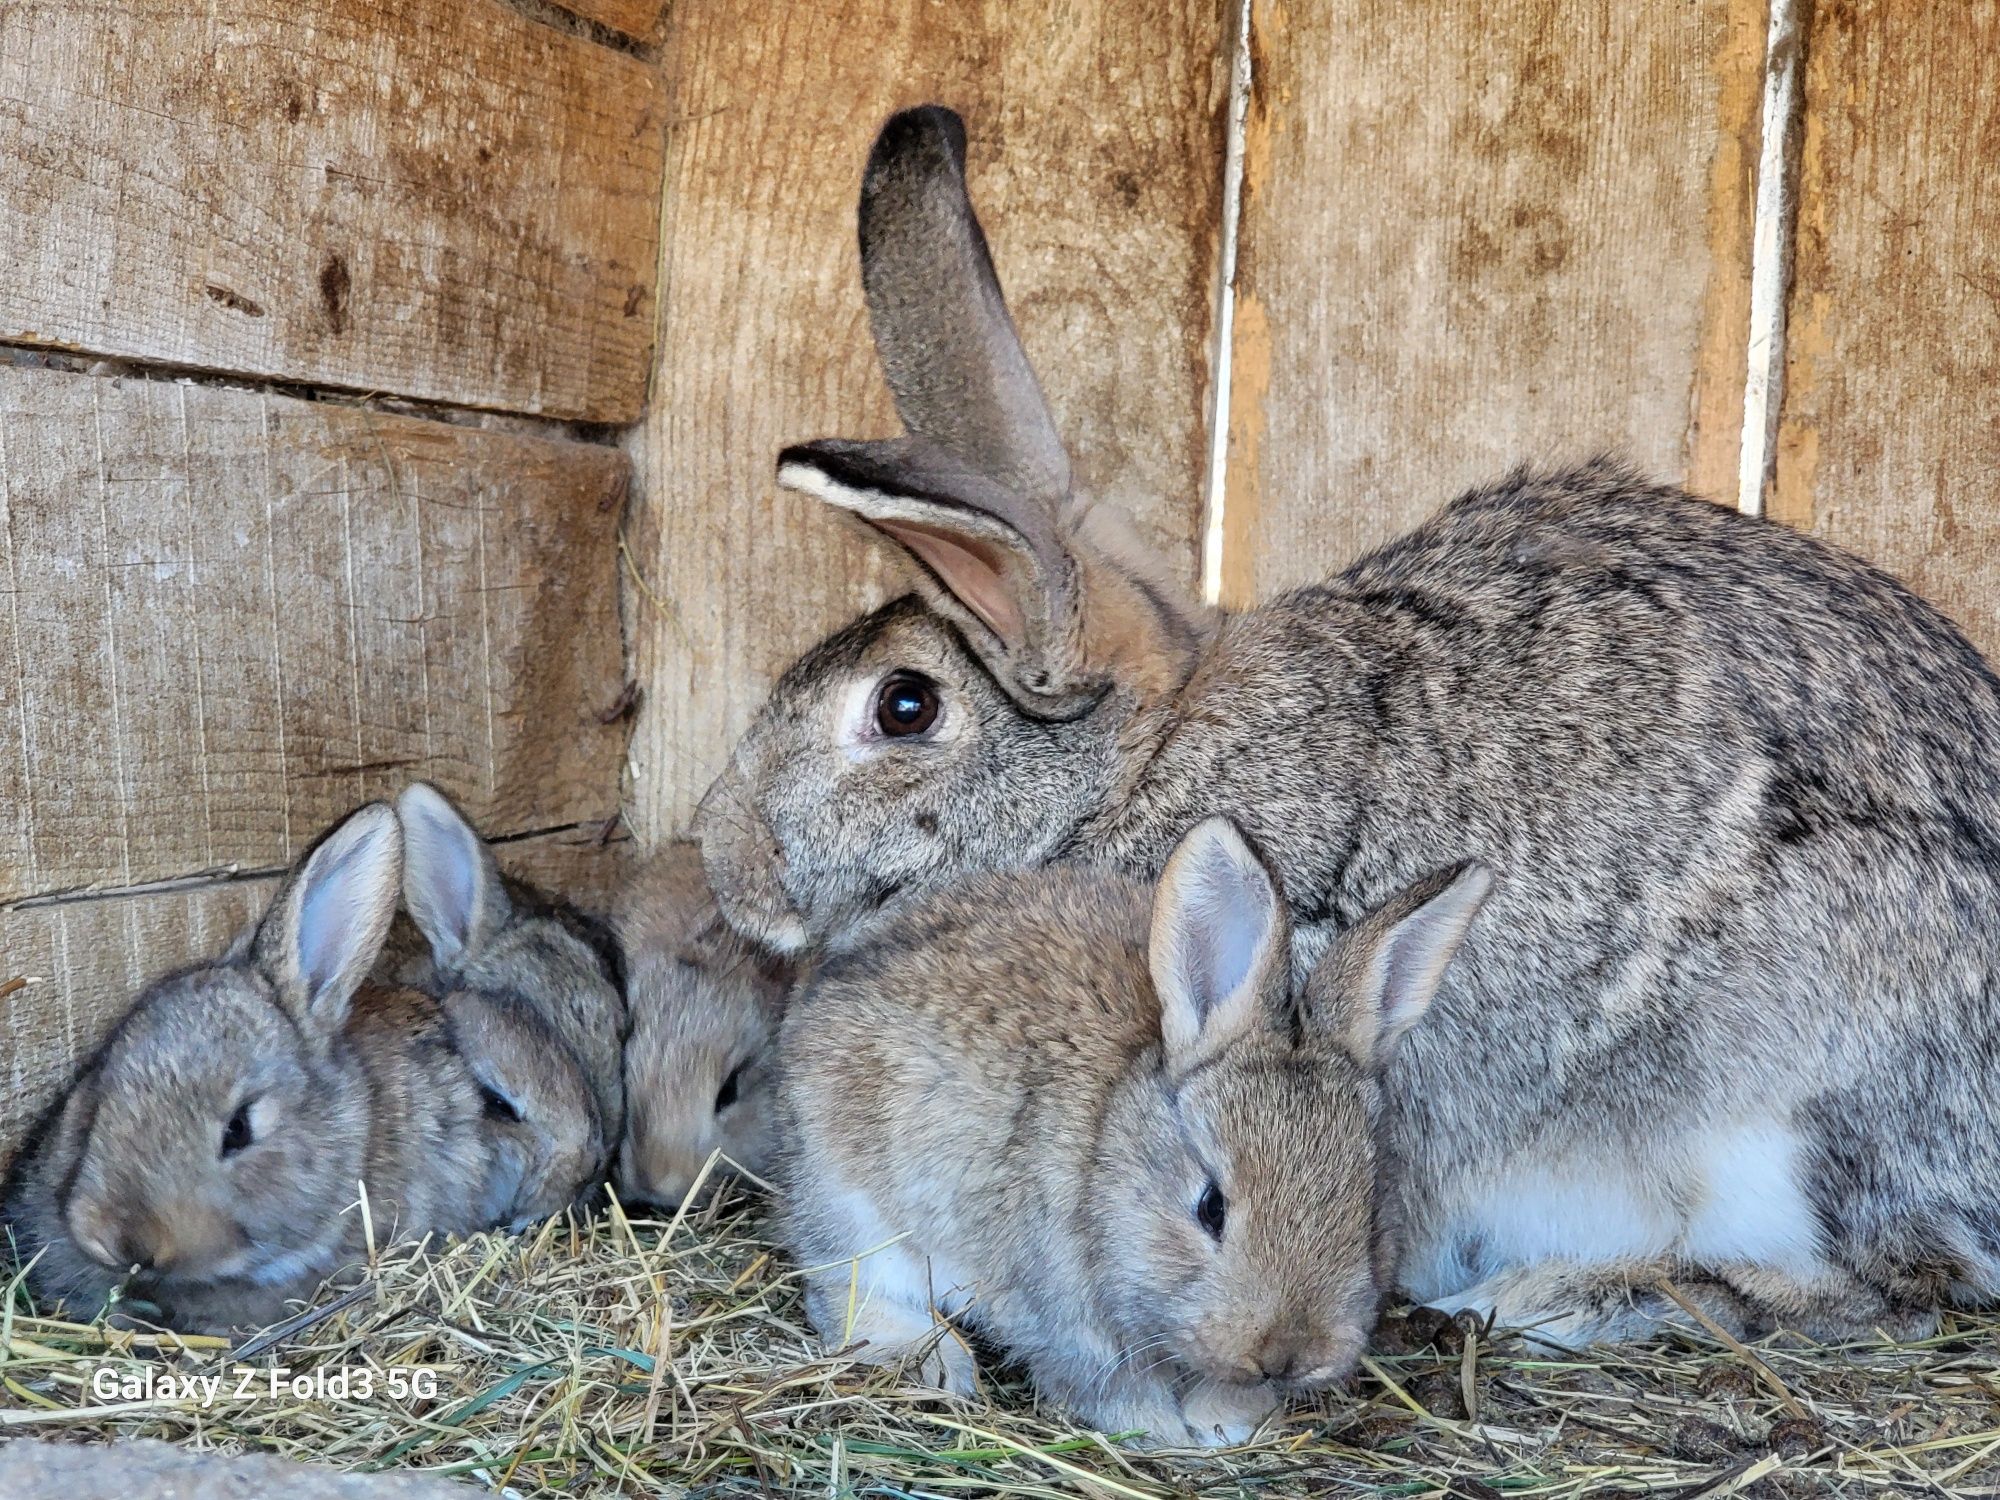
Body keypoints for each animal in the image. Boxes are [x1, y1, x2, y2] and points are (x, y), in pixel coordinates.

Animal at [696, 108, 2000, 1352]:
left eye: (903, 706)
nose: (722, 859)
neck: (1136, 770)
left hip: (1796, 1093)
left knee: (1892, 1287)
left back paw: (1561, 1298)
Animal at [772, 816, 1496, 1448]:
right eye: (1210, 1208)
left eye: (1370, 1214)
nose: (1287, 1354)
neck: (1115, 1146)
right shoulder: (1067, 1316)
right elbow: (1113, 1390)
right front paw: (1166, 1436)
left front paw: (1225, 1421)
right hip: (854, 1208)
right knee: (847, 1292)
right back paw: (940, 1364)